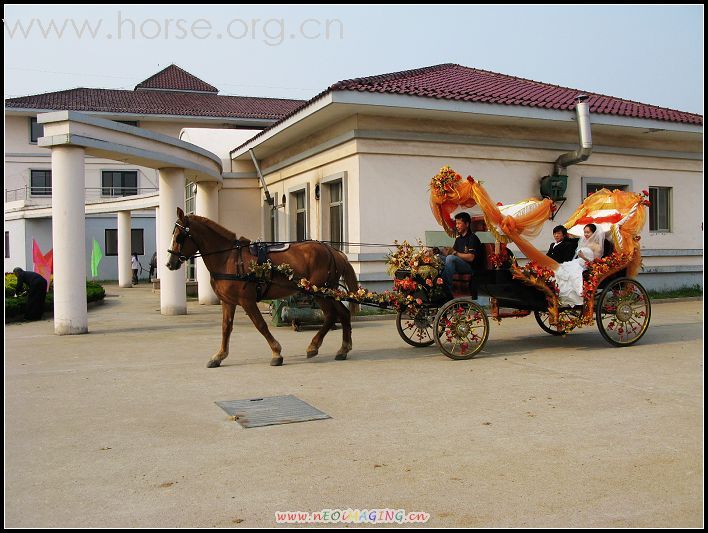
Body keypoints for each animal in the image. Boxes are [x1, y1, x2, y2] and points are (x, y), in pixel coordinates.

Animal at [166, 207, 360, 366]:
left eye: (179, 236)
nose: (170, 263)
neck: (228, 258)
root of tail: (333, 251)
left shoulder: (247, 301)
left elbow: (260, 325)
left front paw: (276, 352)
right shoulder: (228, 302)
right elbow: (226, 327)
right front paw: (219, 356)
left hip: (319, 292)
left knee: (331, 315)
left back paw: (314, 346)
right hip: (327, 290)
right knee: (343, 313)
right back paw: (343, 349)